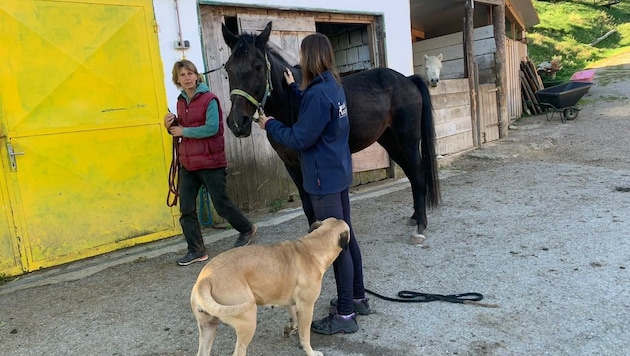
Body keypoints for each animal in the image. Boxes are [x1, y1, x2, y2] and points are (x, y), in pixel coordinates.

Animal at [191, 217, 350, 356]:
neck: (312, 247)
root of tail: (205, 280)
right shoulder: (306, 307)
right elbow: (305, 336)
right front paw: (311, 352)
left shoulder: (290, 302)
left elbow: (294, 318)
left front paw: (290, 328)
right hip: (247, 322)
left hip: (208, 328)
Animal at [225, 21, 442, 242]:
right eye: (228, 68)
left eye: (258, 66)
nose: (237, 123)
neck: (293, 103)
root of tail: (407, 80)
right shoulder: (290, 164)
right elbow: (306, 205)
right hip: (391, 142)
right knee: (411, 174)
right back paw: (414, 217)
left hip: (408, 141)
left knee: (418, 175)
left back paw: (421, 226)